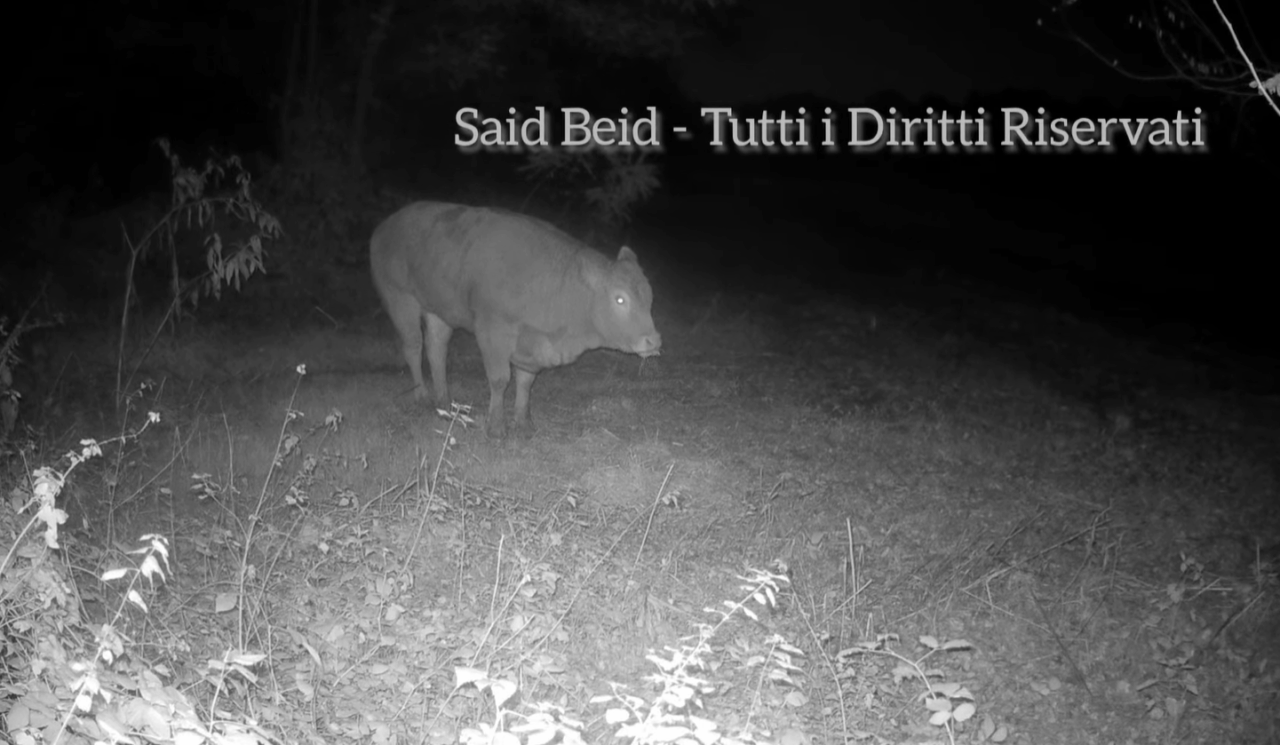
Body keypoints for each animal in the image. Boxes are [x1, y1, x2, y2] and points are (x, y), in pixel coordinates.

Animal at [370, 202, 662, 439]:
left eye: (649, 296)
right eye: (620, 299)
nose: (654, 340)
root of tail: (385, 226)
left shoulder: (531, 341)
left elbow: (525, 381)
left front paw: (523, 423)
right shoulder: (492, 329)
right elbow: (500, 379)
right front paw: (496, 428)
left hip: (439, 308)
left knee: (436, 349)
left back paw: (444, 400)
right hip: (400, 297)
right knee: (413, 347)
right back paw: (421, 395)